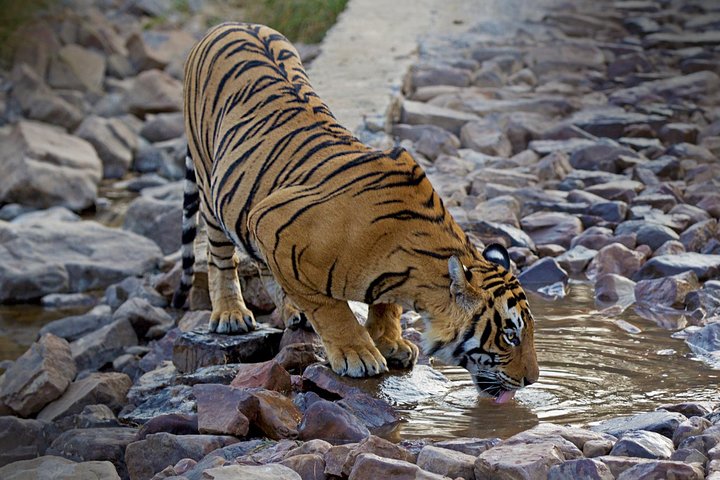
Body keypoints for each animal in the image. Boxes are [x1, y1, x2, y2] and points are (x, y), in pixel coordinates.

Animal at [172, 22, 539, 401]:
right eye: (510, 336)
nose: (532, 380)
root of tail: (231, 24)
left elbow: (386, 303)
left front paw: (391, 341)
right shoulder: (270, 219)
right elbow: (330, 308)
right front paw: (358, 353)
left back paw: (293, 311)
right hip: (212, 185)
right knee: (220, 257)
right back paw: (231, 314)